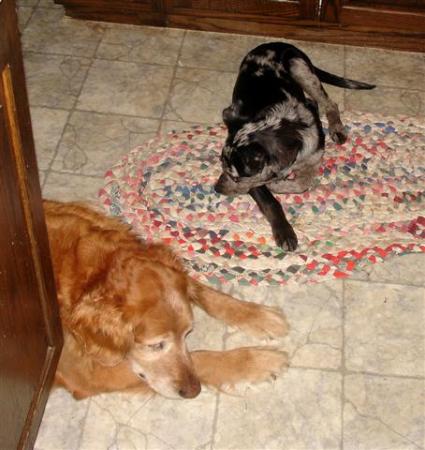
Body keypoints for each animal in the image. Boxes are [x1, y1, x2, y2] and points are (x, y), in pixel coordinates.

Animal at [214, 42, 372, 251]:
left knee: (329, 103)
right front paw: (284, 232)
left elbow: (303, 184)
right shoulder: (256, 182)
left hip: (301, 69)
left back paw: (337, 128)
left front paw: (279, 185)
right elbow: (272, 203)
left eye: (235, 178)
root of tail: (276, 43)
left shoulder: (313, 158)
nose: (216, 187)